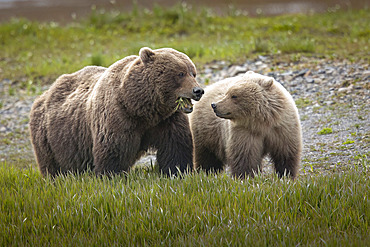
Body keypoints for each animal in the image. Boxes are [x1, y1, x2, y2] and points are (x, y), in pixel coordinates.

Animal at [30, 46, 204, 178]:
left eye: (193, 72)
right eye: (180, 73)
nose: (198, 91)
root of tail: (44, 94)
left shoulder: (167, 119)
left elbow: (176, 146)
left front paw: (178, 172)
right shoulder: (118, 116)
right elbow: (114, 148)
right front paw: (112, 175)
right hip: (51, 137)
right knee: (52, 164)